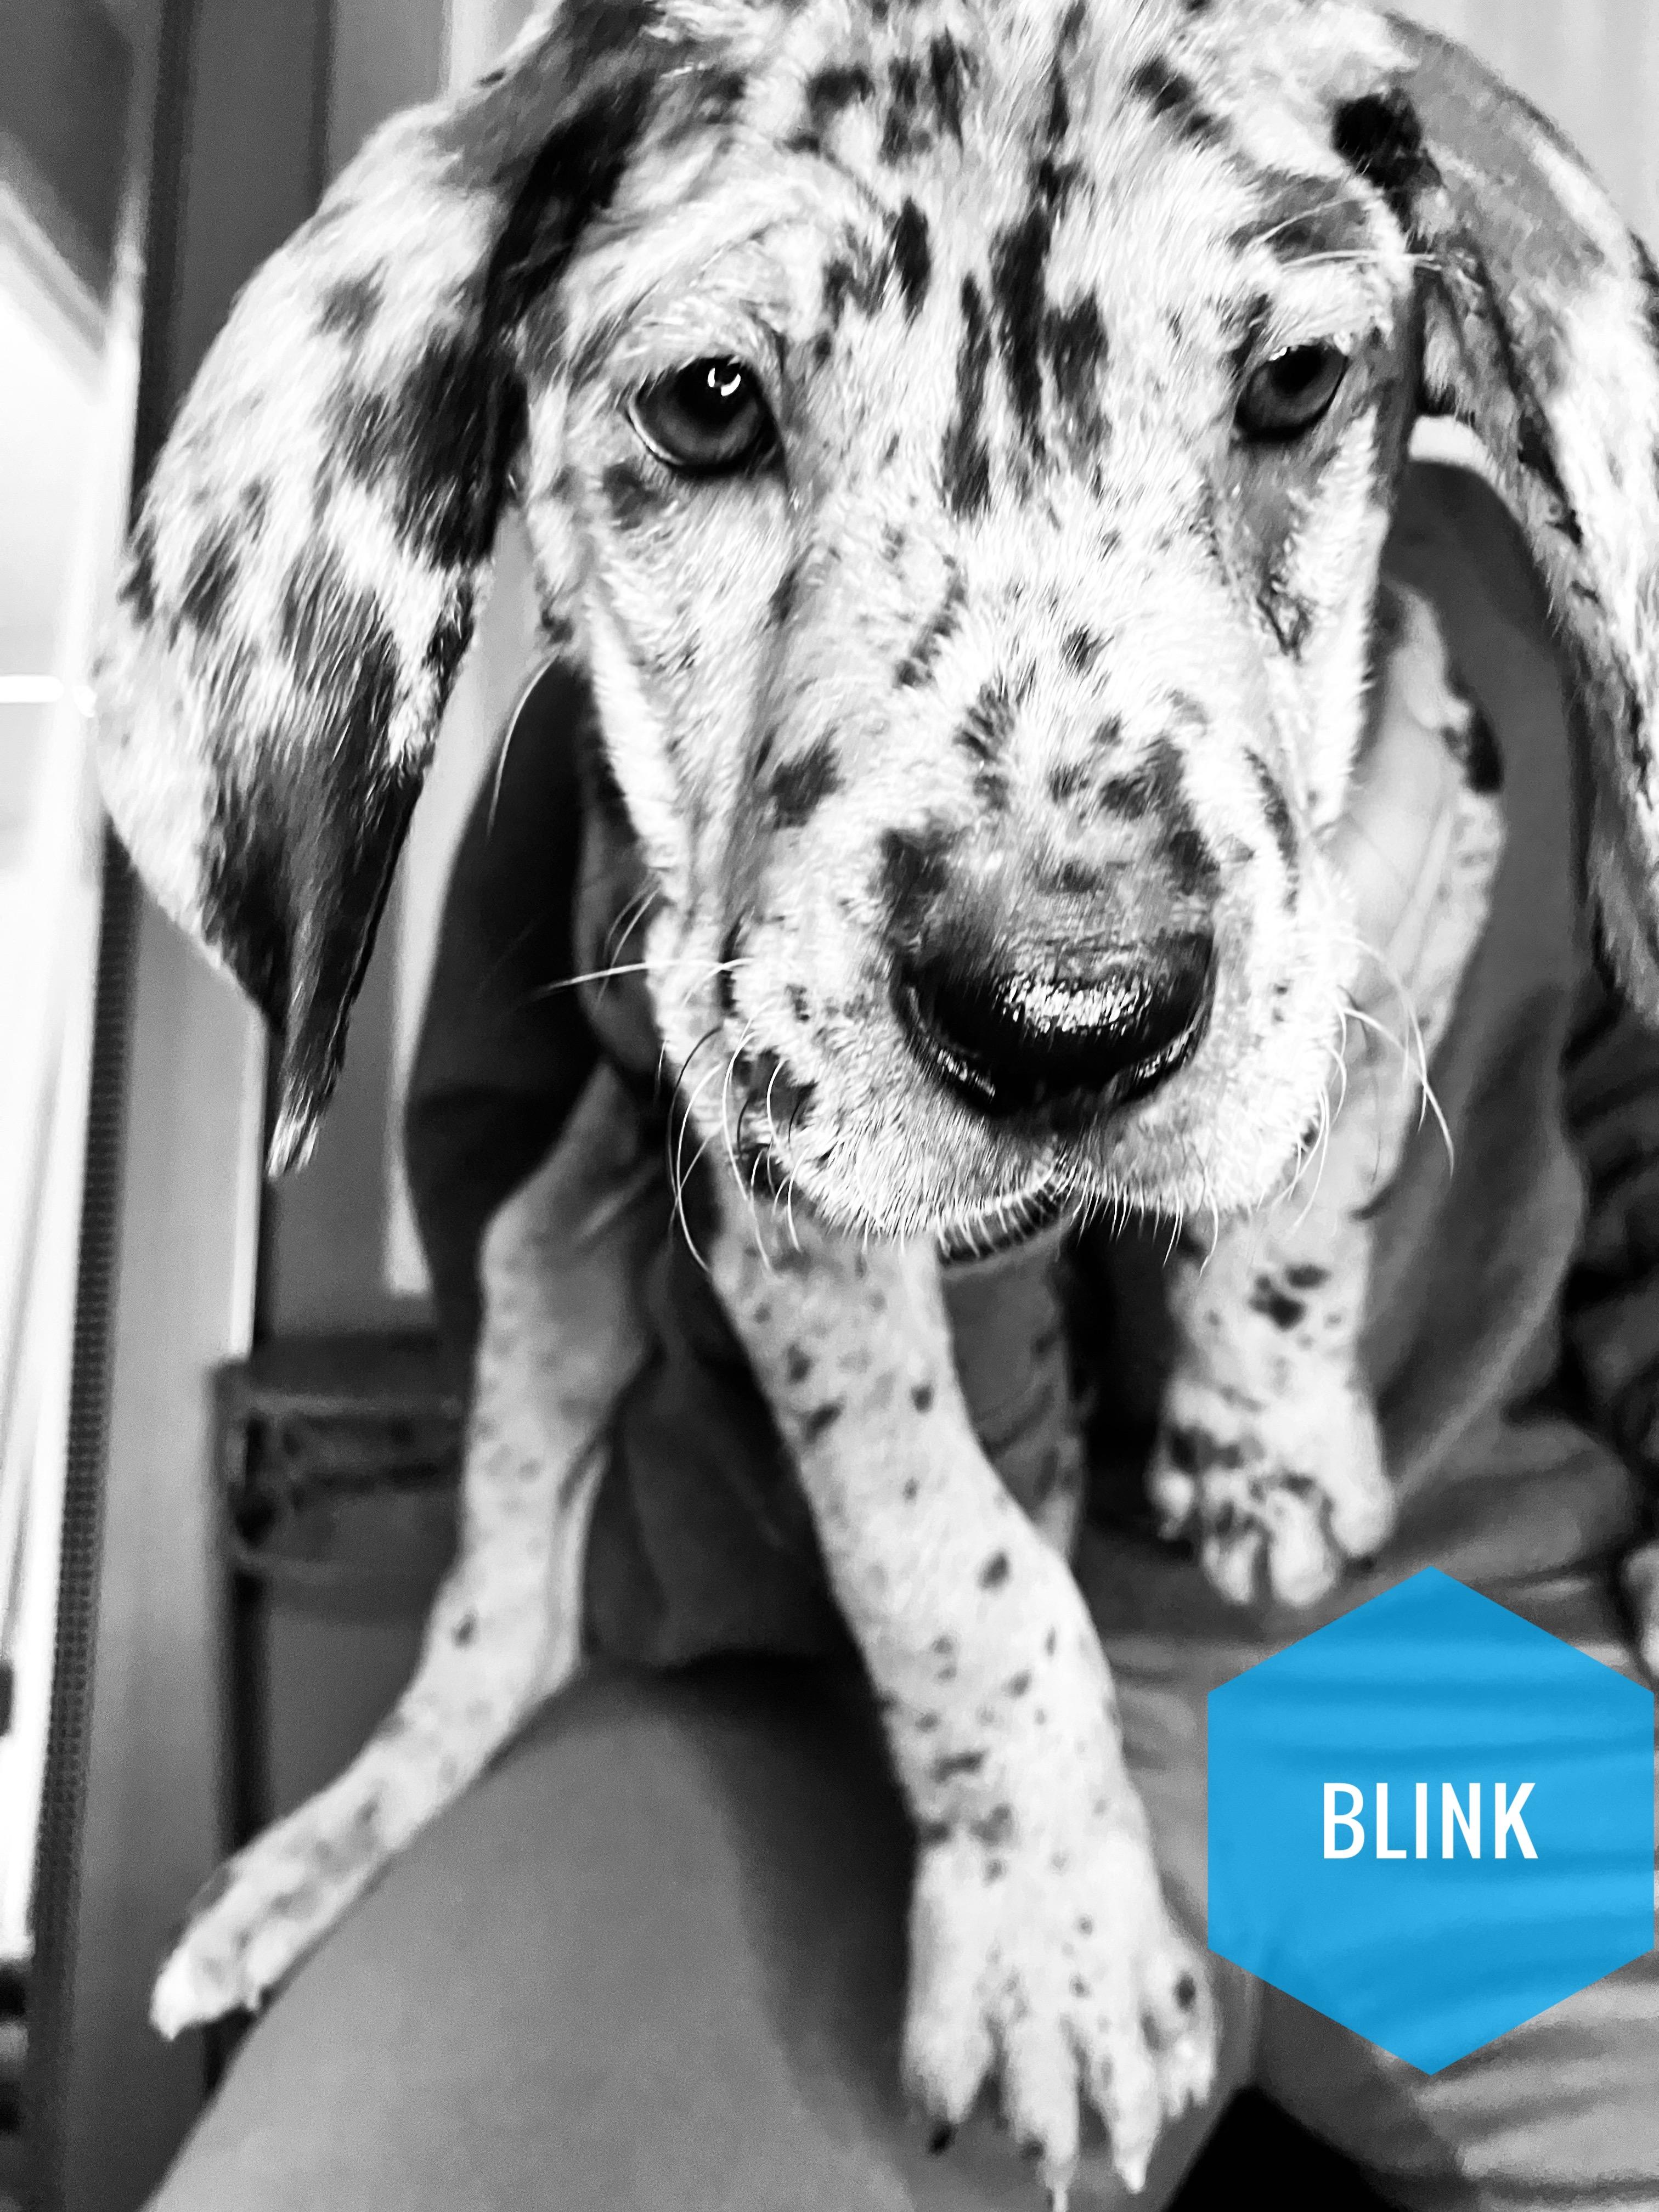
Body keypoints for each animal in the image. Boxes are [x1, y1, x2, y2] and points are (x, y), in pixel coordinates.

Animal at [94, 1, 1659, 2201]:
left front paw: (1264, 1445)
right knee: (500, 1628)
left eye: (1289, 384)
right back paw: (310, 1859)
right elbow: (947, 1546)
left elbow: (1312, 1139)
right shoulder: (763, 1136)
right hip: (547, 1276)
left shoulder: (1419, 821)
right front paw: (1053, 1930)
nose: (1067, 1015)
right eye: (707, 406)